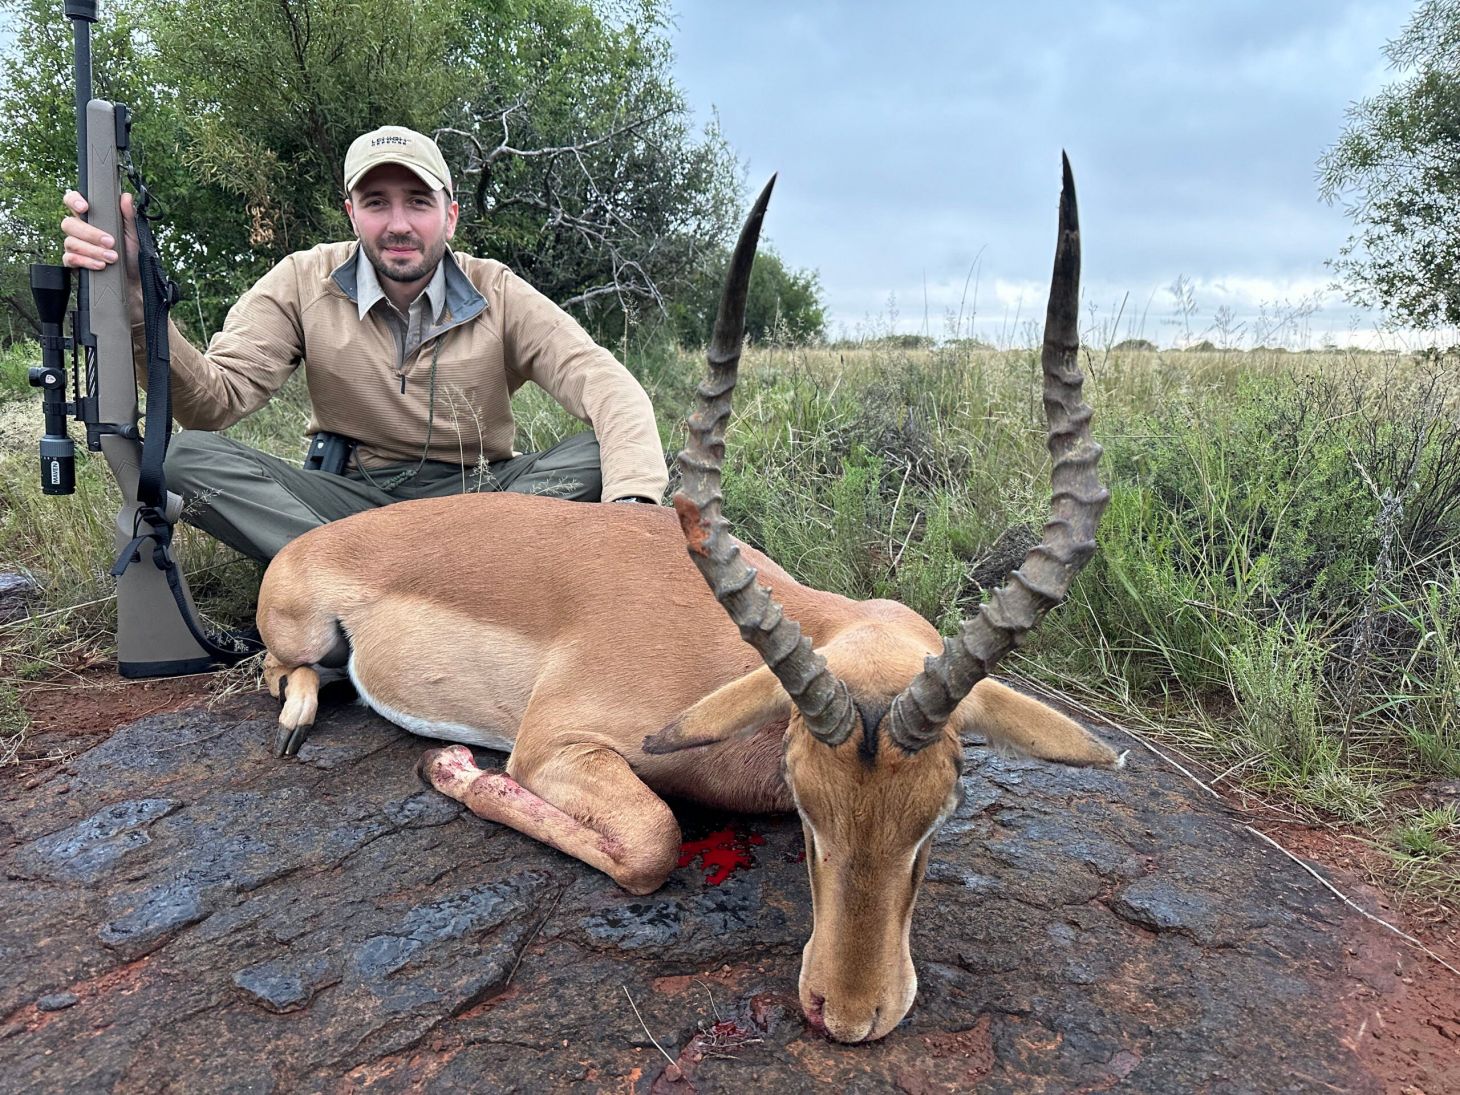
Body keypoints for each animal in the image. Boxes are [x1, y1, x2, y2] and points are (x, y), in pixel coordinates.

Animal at [256, 158, 1120, 1044]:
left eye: (941, 810)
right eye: (805, 804)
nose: (849, 1015)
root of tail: (316, 542)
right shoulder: (552, 748)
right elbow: (655, 843)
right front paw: (451, 765)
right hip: (299, 632)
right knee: (278, 670)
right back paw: (298, 718)